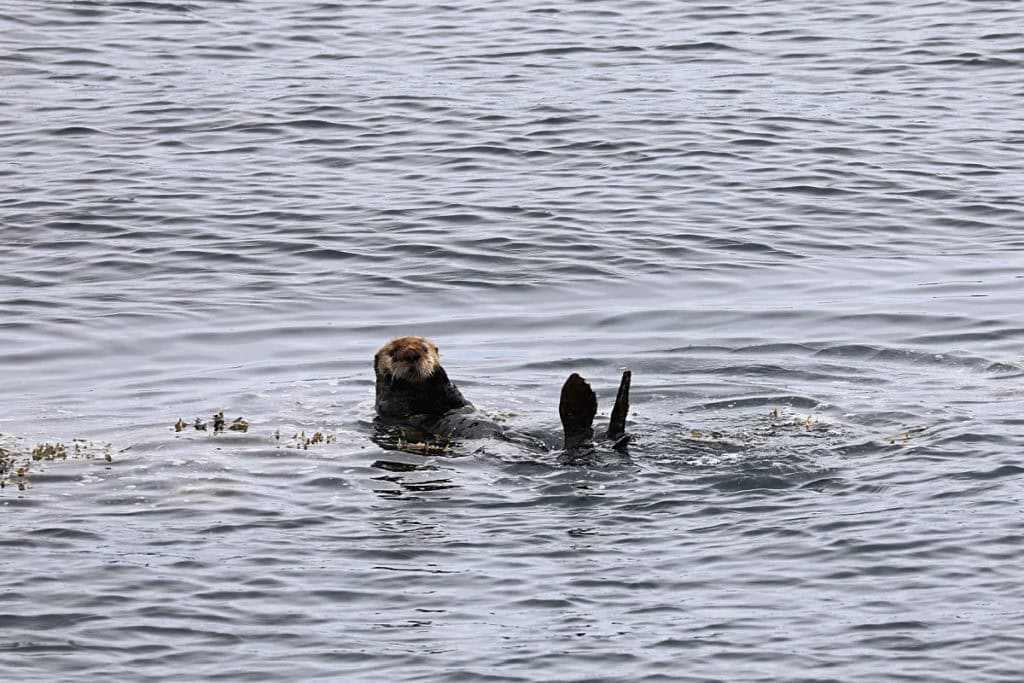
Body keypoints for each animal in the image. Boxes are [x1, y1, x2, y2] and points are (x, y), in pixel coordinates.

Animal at [372, 337, 626, 454]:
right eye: (393, 352)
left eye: (424, 349)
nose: (412, 354)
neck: (423, 393)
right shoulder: (390, 405)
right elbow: (399, 404)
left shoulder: (454, 399)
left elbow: (456, 398)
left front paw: (438, 370)